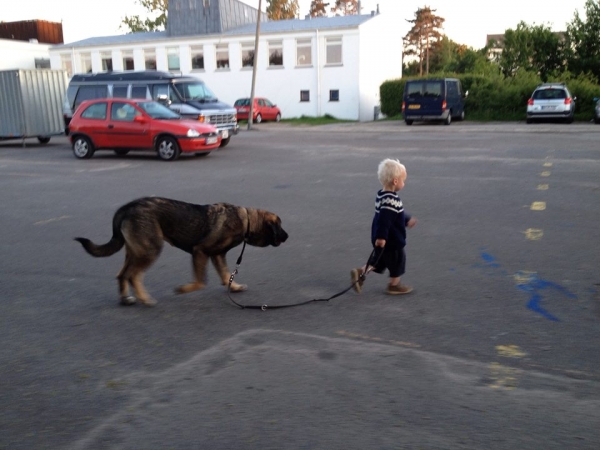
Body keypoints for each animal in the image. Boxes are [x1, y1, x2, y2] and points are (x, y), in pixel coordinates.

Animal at [74, 197, 290, 306]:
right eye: (279, 227)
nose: (288, 236)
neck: (246, 220)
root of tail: (127, 207)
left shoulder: (217, 255)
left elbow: (225, 275)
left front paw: (234, 287)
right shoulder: (200, 252)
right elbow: (201, 282)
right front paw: (183, 289)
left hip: (134, 250)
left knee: (123, 274)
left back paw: (126, 299)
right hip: (150, 249)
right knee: (134, 275)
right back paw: (144, 299)